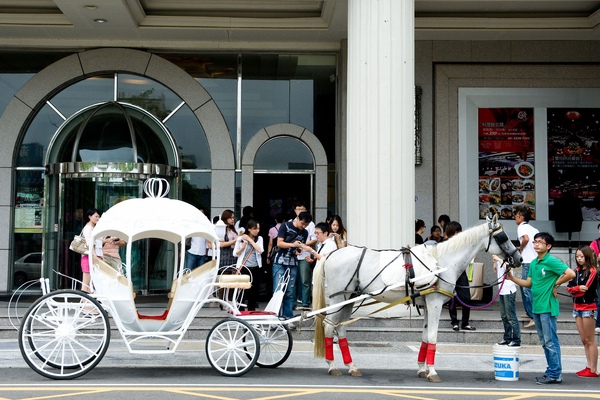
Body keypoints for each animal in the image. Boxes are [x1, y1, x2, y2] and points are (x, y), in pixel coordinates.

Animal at [312, 214, 524, 382]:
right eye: (503, 237)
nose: (519, 259)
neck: (443, 262)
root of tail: (330, 254)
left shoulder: (428, 304)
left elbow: (424, 336)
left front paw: (422, 368)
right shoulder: (435, 303)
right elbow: (432, 336)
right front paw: (432, 371)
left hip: (349, 299)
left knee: (341, 329)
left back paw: (352, 366)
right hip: (338, 299)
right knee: (329, 326)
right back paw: (332, 366)